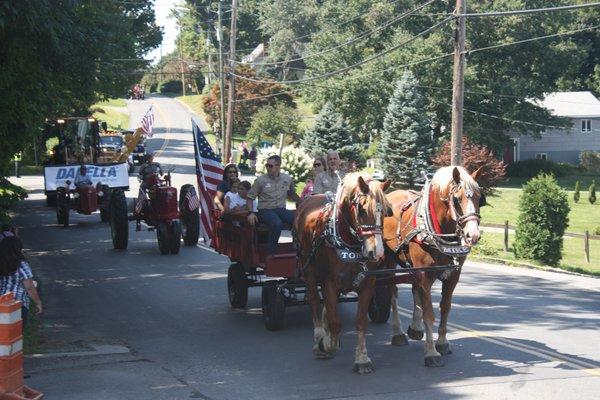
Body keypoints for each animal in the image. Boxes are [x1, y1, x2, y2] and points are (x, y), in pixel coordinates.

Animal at [292, 173, 392, 376]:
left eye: (385, 212)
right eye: (362, 210)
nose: (376, 252)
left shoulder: (368, 282)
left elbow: (360, 321)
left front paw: (362, 359)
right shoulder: (329, 281)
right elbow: (335, 321)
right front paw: (327, 344)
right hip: (308, 269)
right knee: (314, 300)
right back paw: (319, 337)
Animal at [384, 165, 482, 366]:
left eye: (479, 198)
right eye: (456, 199)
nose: (473, 235)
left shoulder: (453, 275)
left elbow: (445, 307)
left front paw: (442, 343)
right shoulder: (426, 275)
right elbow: (429, 313)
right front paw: (431, 352)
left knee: (414, 290)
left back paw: (415, 328)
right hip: (389, 261)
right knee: (393, 292)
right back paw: (398, 333)